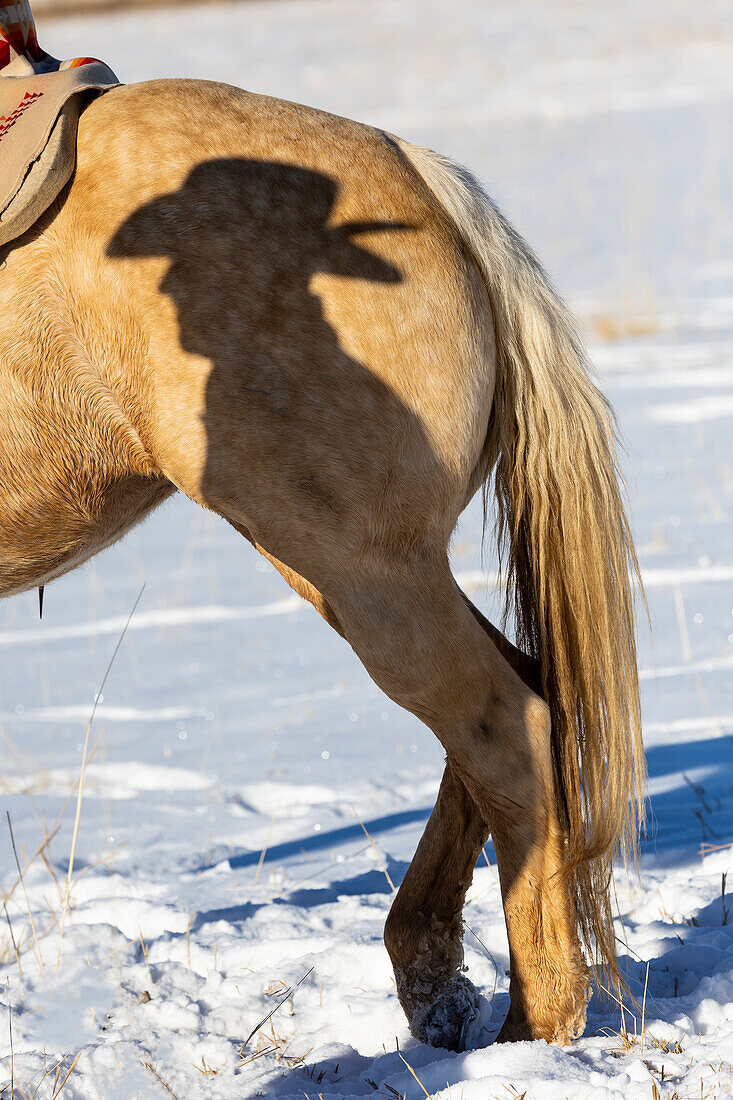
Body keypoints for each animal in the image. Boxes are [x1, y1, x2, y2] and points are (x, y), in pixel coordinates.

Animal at [0, 79, 638, 1047]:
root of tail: (420, 171)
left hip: (356, 565)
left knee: (503, 726)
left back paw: (534, 1027)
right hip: (363, 566)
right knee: (515, 694)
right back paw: (436, 984)